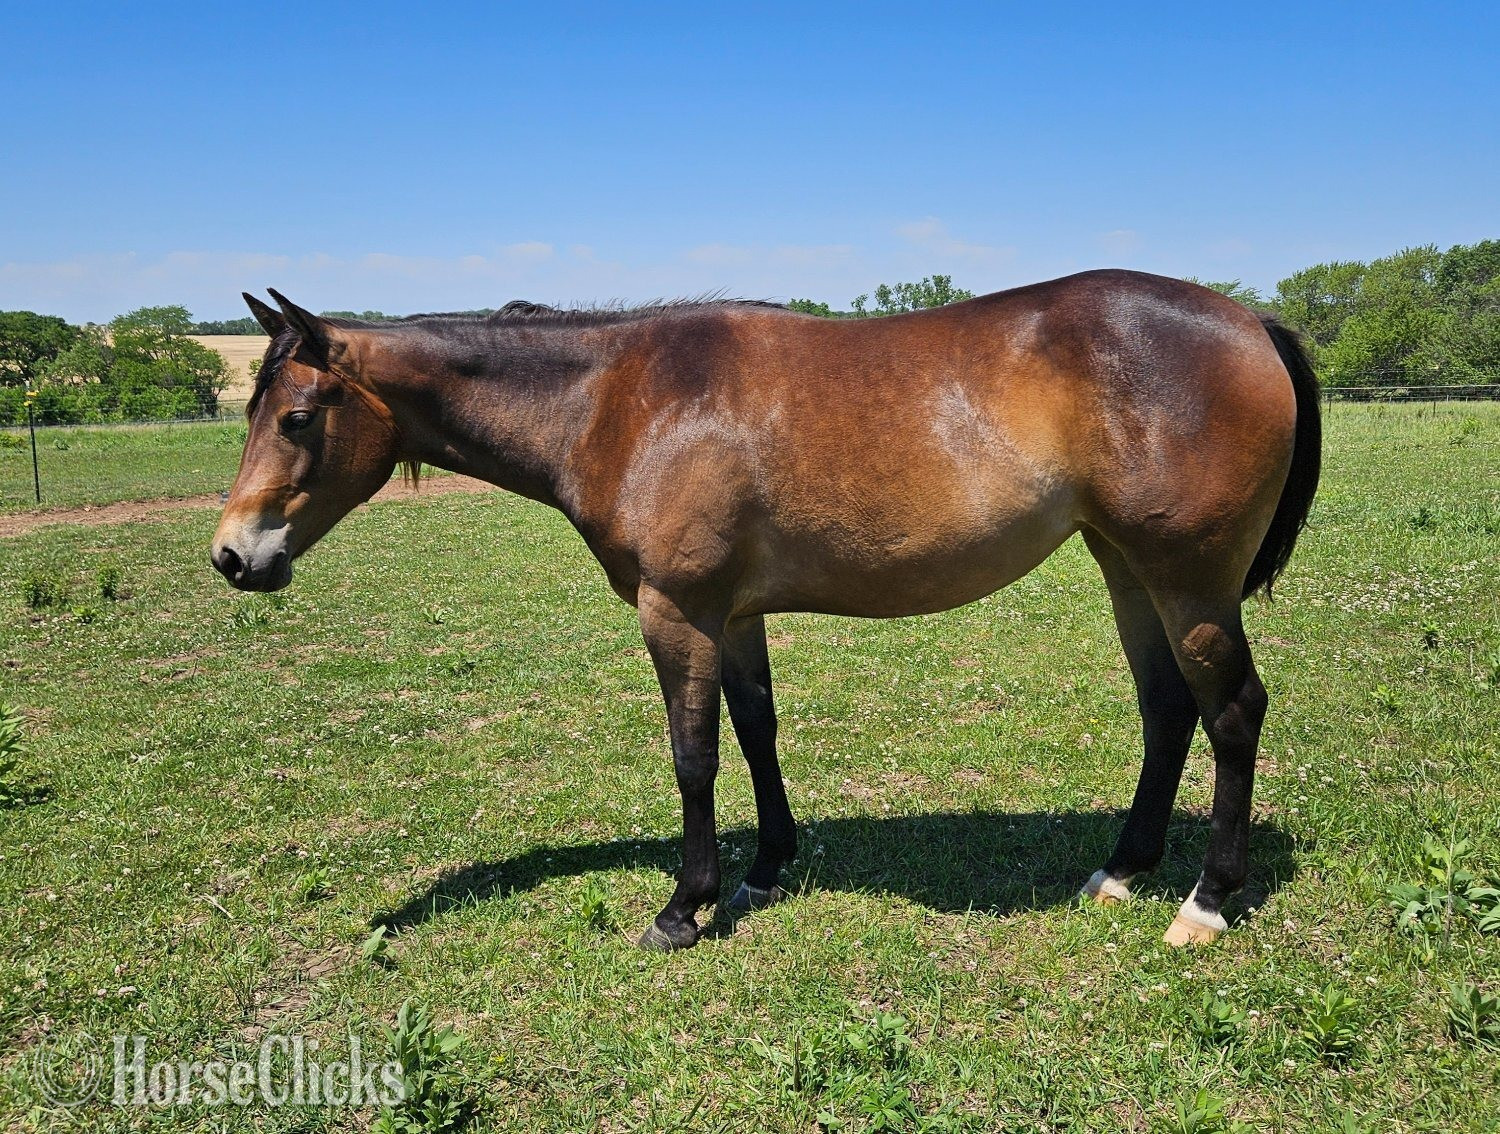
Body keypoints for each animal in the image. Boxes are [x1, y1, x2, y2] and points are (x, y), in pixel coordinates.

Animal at [212, 271, 1320, 951]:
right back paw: (1121, 871)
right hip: (1126, 567)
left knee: (1231, 713)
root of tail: (1249, 322)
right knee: (1167, 710)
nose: (233, 554)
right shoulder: (731, 617)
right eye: (255, 411)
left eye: (298, 418)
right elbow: (755, 731)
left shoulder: (676, 612)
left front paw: (684, 907)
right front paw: (765, 870)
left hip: (1190, 582)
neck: (621, 400)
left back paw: (1206, 901)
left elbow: (694, 755)